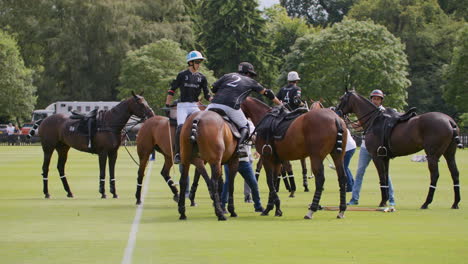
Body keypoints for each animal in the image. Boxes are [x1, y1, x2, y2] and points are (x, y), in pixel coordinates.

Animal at [334, 89, 462, 209]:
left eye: (341, 98)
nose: (336, 111)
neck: (374, 120)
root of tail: (449, 121)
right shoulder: (385, 157)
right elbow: (386, 178)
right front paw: (385, 200)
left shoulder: (376, 157)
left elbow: (382, 177)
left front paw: (382, 202)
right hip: (450, 154)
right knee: (455, 173)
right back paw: (455, 203)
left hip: (432, 156)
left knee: (435, 175)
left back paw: (426, 203)